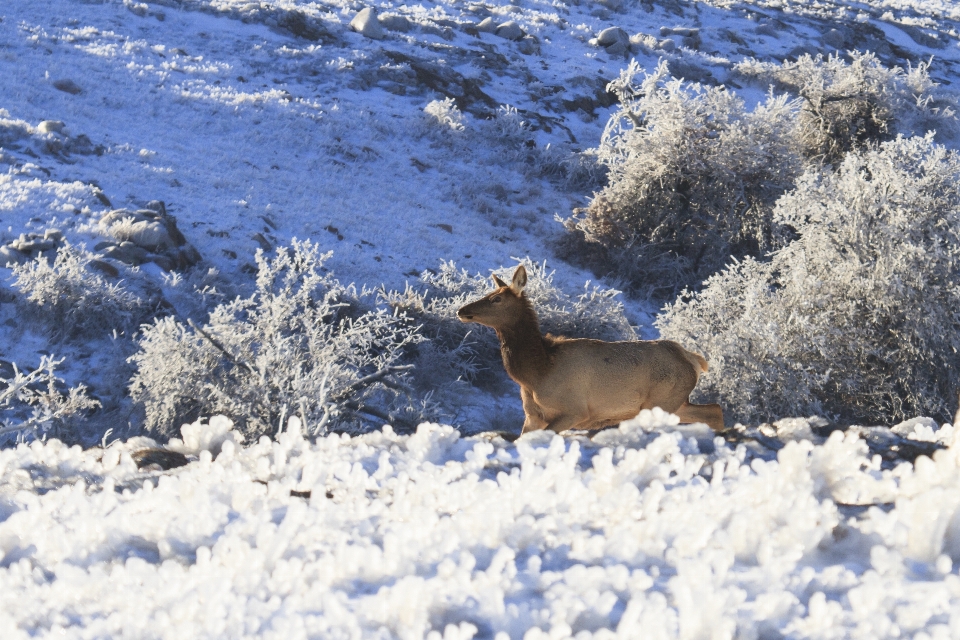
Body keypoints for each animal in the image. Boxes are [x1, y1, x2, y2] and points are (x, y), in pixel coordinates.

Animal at [456, 264, 720, 436]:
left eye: (496, 299)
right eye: (489, 293)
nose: (462, 310)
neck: (537, 373)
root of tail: (694, 360)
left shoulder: (574, 411)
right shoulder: (532, 417)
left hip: (662, 401)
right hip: (675, 402)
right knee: (714, 411)